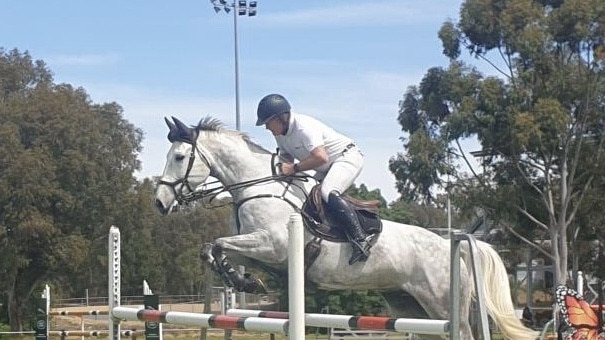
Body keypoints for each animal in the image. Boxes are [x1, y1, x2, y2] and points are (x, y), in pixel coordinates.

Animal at [153, 117, 536, 340]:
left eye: (179, 157)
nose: (159, 203)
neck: (255, 185)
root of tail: (452, 243)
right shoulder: (261, 251)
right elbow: (213, 248)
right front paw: (243, 281)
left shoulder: (272, 244)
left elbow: (217, 243)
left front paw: (243, 280)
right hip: (411, 306)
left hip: (444, 305)